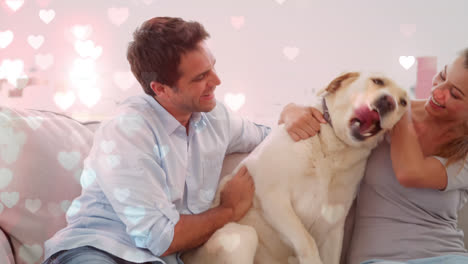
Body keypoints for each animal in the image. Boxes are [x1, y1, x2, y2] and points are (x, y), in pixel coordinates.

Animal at [183, 72, 410, 264]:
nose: (389, 102)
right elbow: (307, 240)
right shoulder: (272, 197)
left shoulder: (334, 225)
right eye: (378, 81)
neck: (334, 149)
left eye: (403, 102)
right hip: (242, 235)